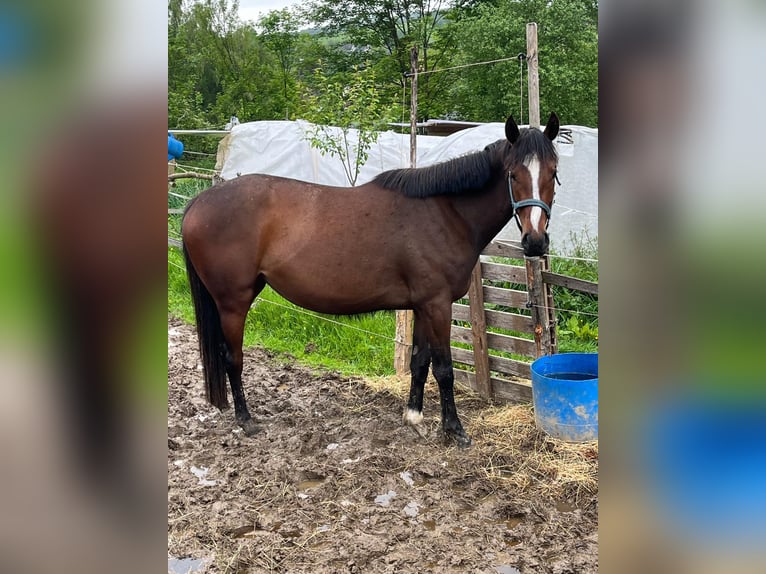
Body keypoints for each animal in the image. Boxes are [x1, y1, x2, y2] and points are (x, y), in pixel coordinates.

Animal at [182, 113, 560, 448]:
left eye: (553, 173)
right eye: (513, 174)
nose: (534, 242)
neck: (446, 213)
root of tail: (198, 202)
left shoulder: (422, 305)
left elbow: (419, 362)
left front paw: (414, 417)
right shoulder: (438, 305)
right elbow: (444, 369)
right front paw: (455, 430)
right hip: (233, 302)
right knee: (232, 357)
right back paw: (246, 421)